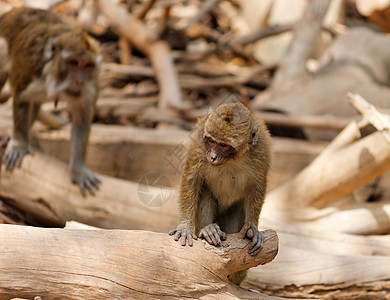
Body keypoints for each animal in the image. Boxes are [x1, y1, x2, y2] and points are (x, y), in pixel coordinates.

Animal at [0, 7, 102, 196]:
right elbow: (21, 97)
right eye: (73, 63)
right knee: (3, 50)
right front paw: (20, 144)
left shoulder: (91, 86)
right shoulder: (30, 67)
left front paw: (79, 170)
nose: (80, 82)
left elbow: (82, 119)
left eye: (87, 66)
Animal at [169, 101, 272, 284]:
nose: (213, 157)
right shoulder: (199, 144)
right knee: (205, 192)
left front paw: (253, 228)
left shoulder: (261, 152)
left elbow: (258, 187)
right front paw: (185, 227)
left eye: (223, 145)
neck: (231, 160)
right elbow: (192, 179)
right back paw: (208, 230)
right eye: (210, 140)